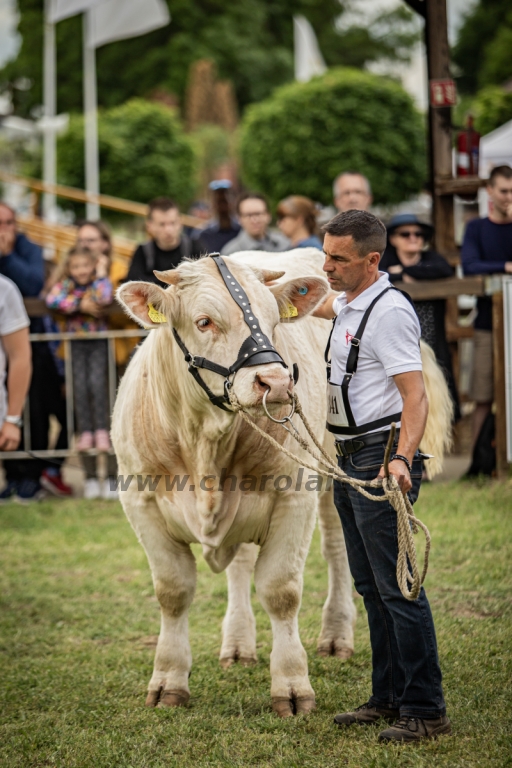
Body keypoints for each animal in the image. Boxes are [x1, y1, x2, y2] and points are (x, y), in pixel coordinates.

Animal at [113, 249, 452, 716]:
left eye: (274, 320)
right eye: (204, 321)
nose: (274, 383)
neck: (205, 445)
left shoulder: (295, 496)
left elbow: (281, 590)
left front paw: (292, 686)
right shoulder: (139, 500)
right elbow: (173, 590)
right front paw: (168, 681)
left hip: (336, 482)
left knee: (338, 553)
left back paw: (335, 636)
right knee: (240, 564)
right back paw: (238, 645)